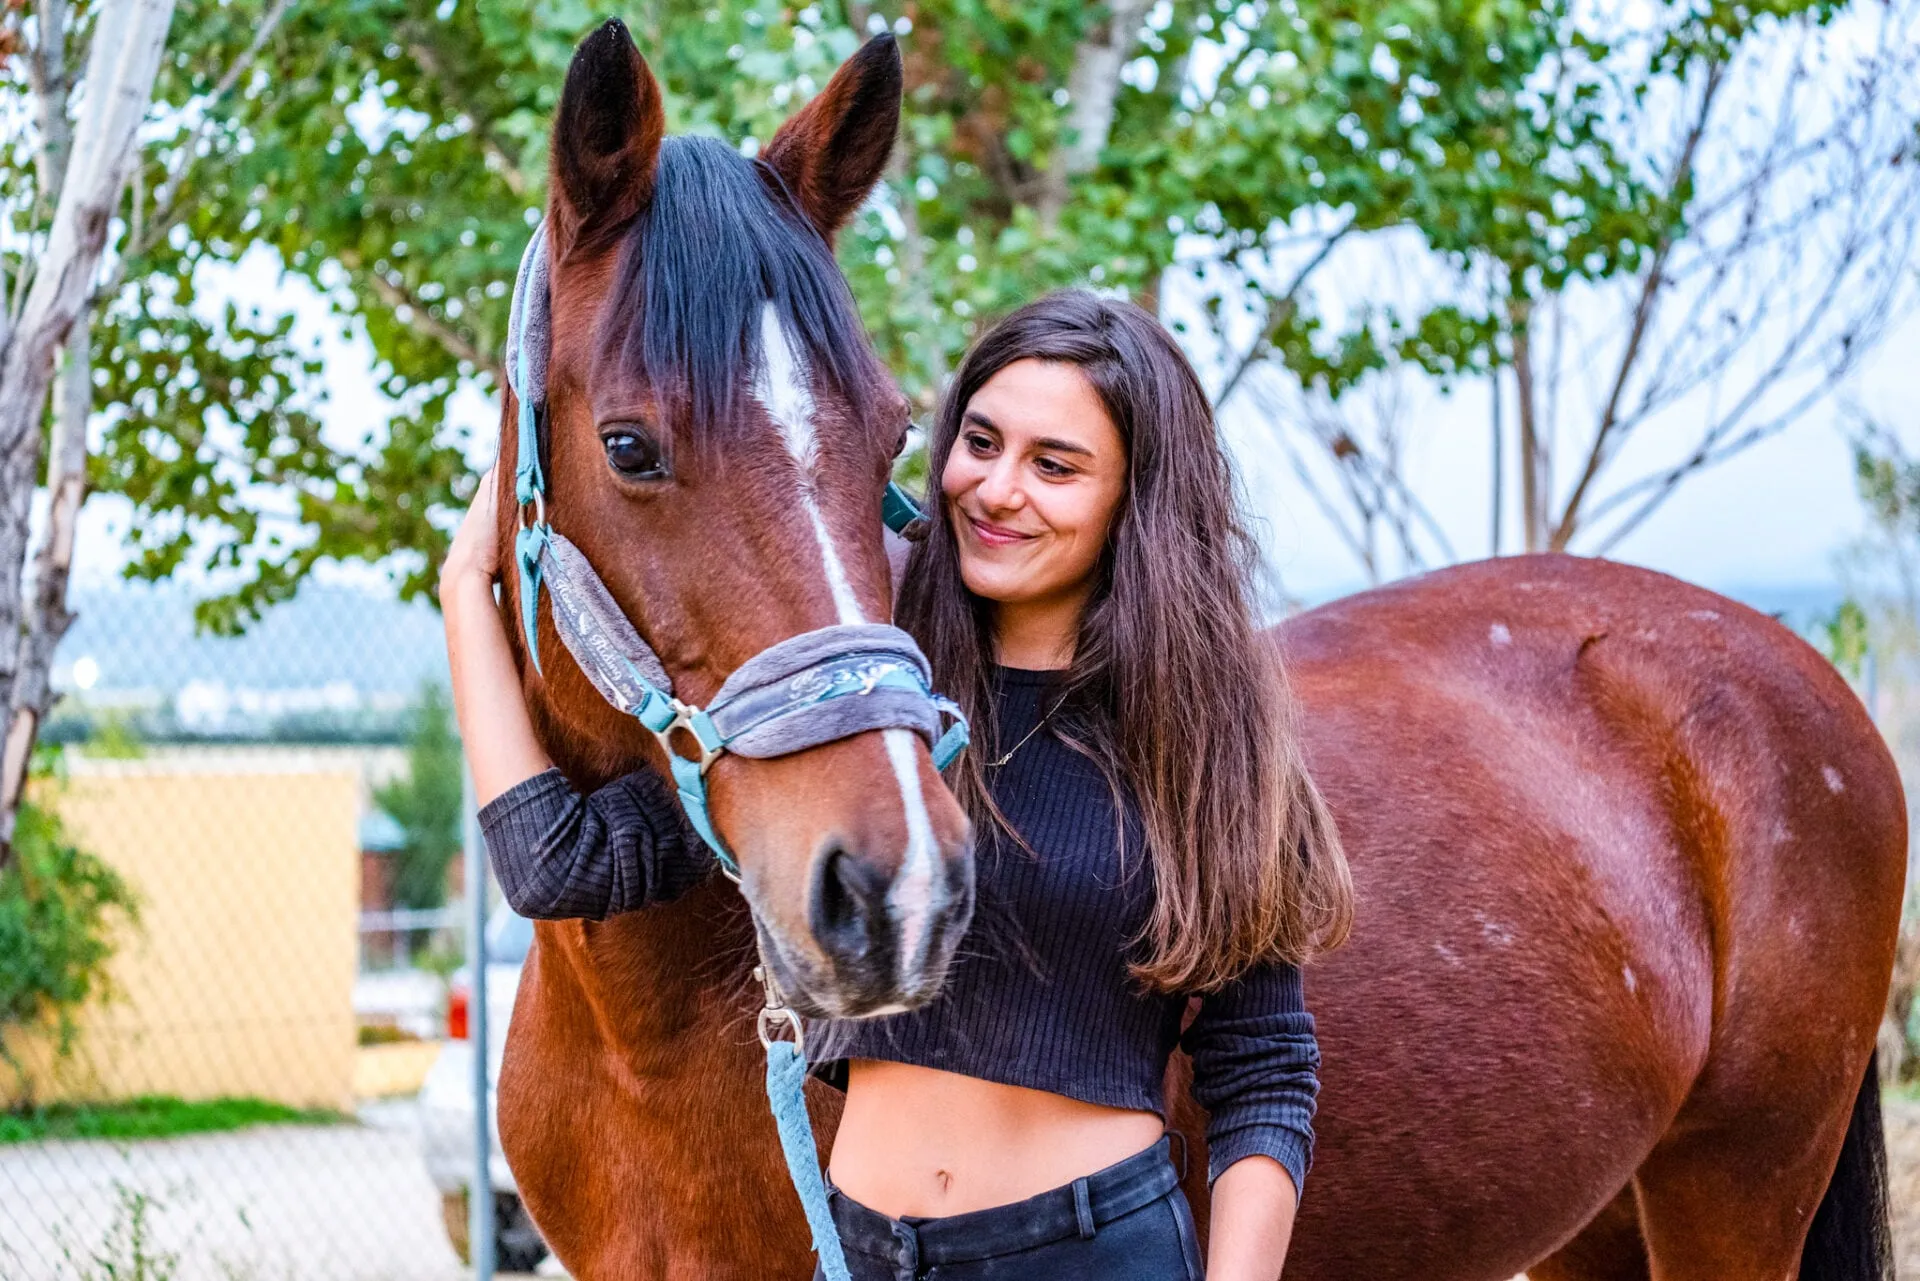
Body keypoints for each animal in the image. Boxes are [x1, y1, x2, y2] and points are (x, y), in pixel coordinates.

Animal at [492, 21, 1905, 1281]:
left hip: (1736, 1188)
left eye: (892, 432)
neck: (643, 1025)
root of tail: (1789, 666)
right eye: (629, 446)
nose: (899, 895)